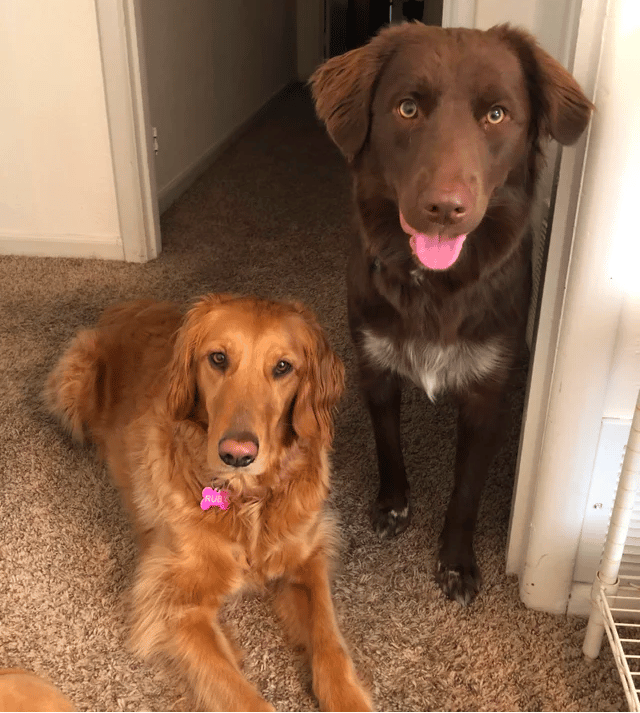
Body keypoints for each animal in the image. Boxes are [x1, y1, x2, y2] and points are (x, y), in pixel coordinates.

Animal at [45, 294, 372, 712]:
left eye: (283, 367)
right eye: (218, 358)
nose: (237, 454)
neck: (246, 500)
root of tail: (125, 304)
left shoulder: (308, 554)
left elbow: (329, 642)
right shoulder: (171, 601)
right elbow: (241, 696)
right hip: (74, 377)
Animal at [310, 22, 592, 604]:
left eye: (497, 115)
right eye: (407, 108)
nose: (444, 209)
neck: (436, 287)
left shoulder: (488, 392)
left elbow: (467, 488)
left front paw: (457, 563)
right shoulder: (375, 363)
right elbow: (388, 443)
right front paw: (393, 504)